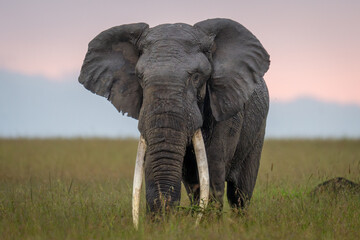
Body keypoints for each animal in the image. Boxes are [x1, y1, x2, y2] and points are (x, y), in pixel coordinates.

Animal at [79, 17, 270, 226]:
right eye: (139, 77)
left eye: (196, 76)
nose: (161, 222)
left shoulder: (227, 107)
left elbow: (213, 164)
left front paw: (207, 225)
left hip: (258, 129)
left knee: (240, 192)